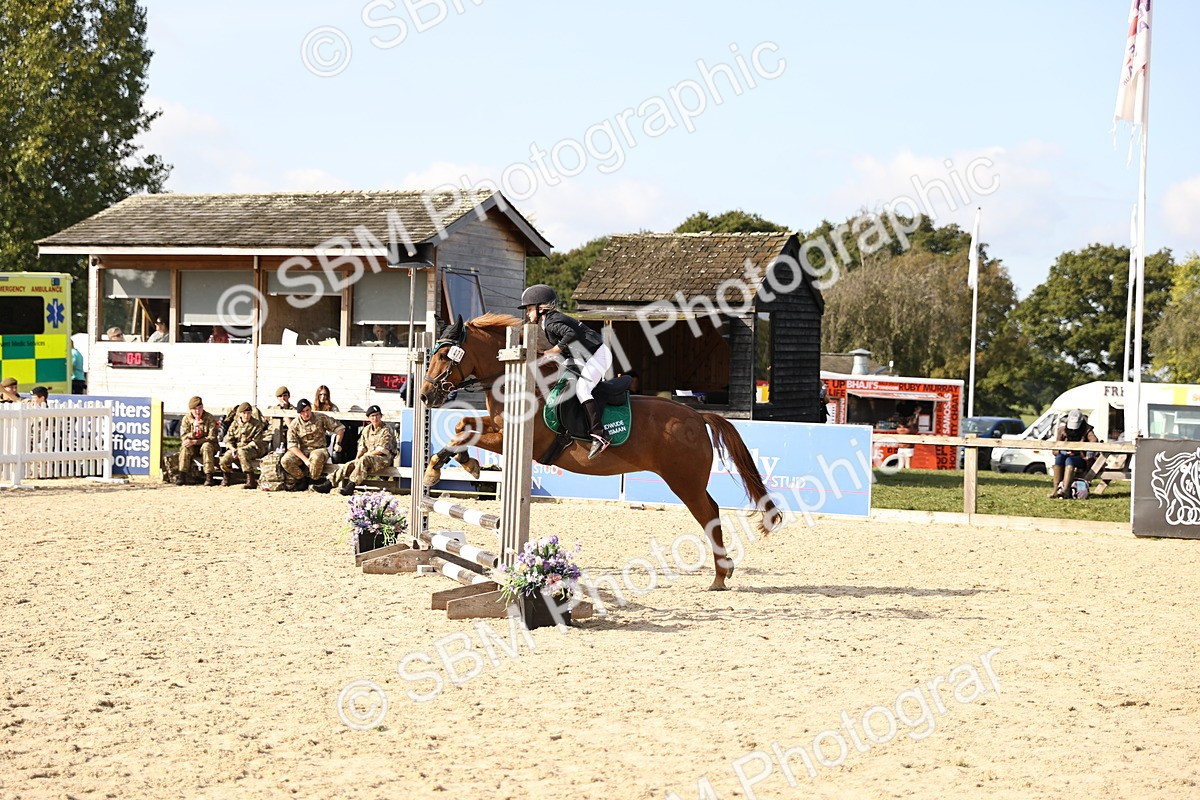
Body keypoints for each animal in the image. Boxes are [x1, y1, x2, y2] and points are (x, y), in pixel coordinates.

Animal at [419, 313, 782, 591]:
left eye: (446, 356)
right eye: (432, 355)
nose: (424, 396)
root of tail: (697, 415)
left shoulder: (517, 438)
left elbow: (465, 432)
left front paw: (439, 469)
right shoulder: (498, 426)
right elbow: (463, 426)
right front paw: (457, 465)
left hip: (684, 480)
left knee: (708, 514)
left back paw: (720, 576)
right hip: (687, 479)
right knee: (712, 511)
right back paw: (723, 572)